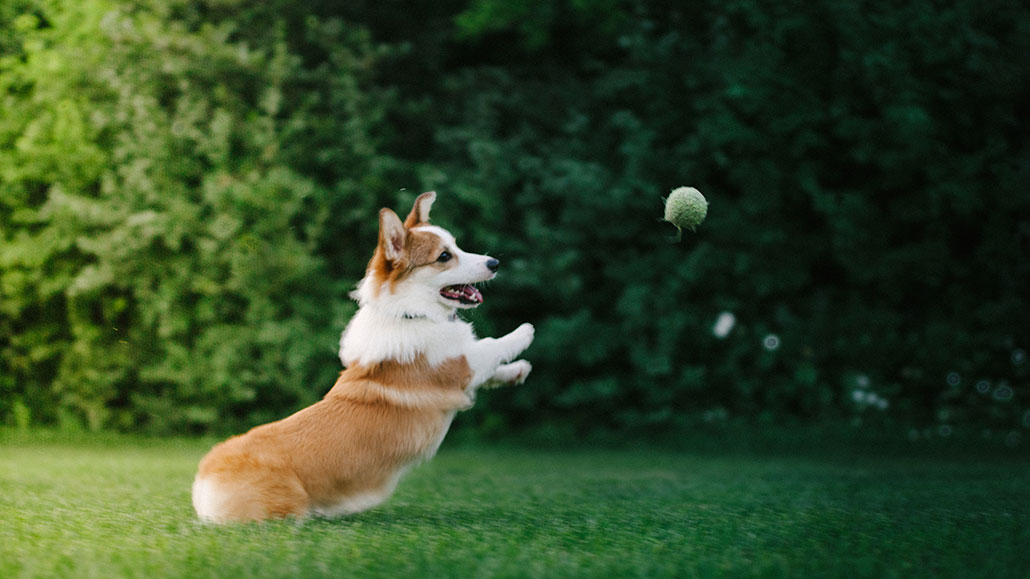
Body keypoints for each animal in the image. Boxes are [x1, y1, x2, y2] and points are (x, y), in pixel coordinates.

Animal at [188, 191, 535, 521]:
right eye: (444, 257)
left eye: (457, 246)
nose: (494, 263)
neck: (409, 314)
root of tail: (202, 484)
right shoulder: (460, 364)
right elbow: (490, 346)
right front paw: (525, 331)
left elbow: (494, 368)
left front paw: (518, 371)